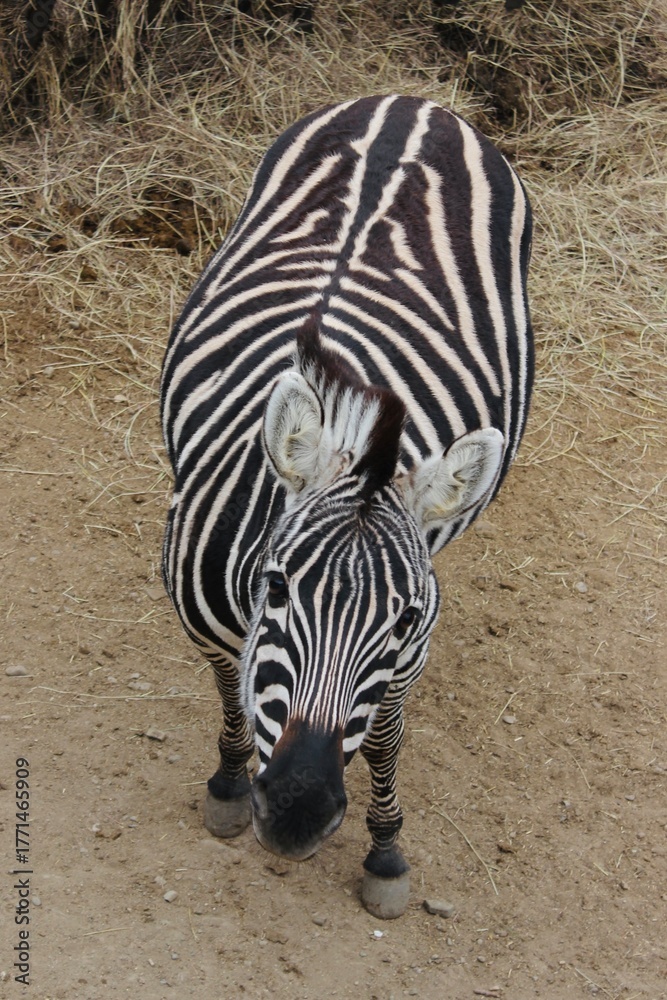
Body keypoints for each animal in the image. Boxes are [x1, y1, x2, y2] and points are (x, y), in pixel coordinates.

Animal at [161, 94, 533, 918]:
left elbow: (386, 739)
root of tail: (414, 101)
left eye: (400, 618)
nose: (298, 812)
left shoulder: (403, 660)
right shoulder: (204, 624)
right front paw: (228, 783)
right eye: (274, 587)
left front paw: (385, 850)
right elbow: (228, 685)